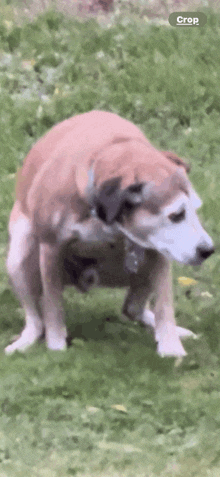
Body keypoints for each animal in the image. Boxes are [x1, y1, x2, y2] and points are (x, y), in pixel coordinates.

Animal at [5, 109, 215, 356]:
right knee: (37, 320)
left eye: (195, 209)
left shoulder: (160, 252)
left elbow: (165, 305)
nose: (208, 250)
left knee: (132, 309)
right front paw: (56, 347)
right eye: (177, 215)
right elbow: (53, 307)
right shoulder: (50, 249)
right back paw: (26, 340)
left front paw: (172, 349)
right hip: (18, 259)